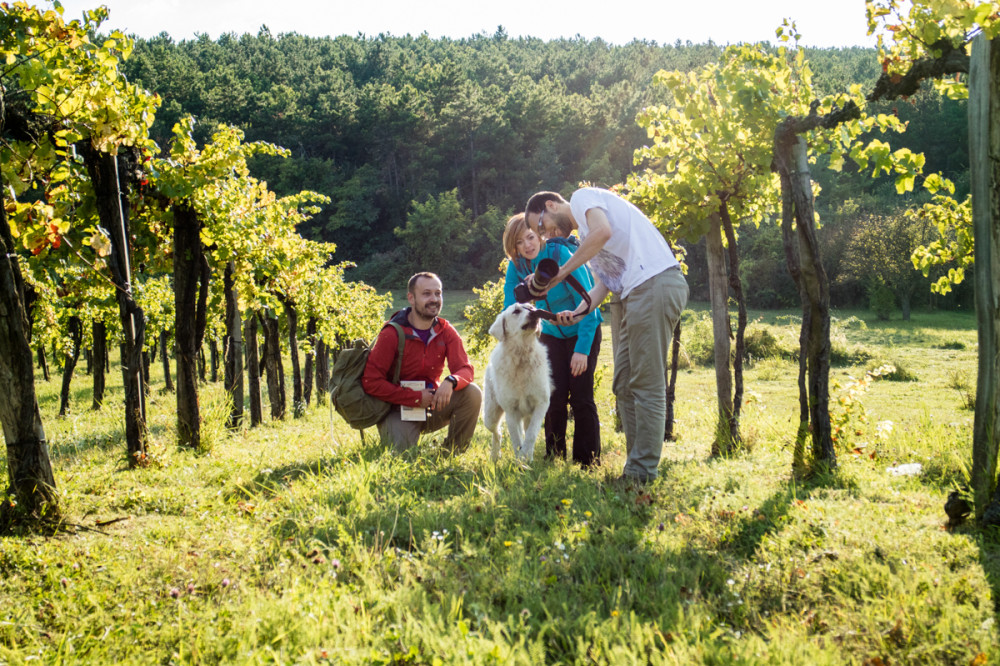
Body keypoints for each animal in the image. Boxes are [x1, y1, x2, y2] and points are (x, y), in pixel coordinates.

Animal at [480, 302, 552, 462]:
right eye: (516, 311)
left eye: (531, 307)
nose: (535, 312)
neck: (521, 355)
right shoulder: (511, 410)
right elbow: (516, 439)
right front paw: (520, 460)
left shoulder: (541, 404)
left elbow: (531, 435)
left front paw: (526, 456)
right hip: (490, 416)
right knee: (497, 432)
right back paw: (495, 455)